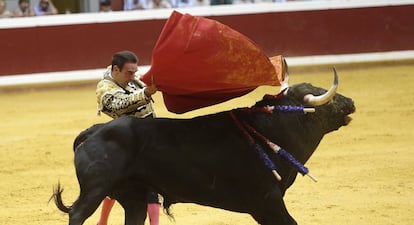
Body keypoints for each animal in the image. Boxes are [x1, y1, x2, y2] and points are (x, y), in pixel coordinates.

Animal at [51, 68, 356, 225]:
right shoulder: (267, 201)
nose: (350, 102)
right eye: (322, 96)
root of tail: (95, 131)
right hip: (95, 189)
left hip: (133, 195)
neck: (269, 130)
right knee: (78, 213)